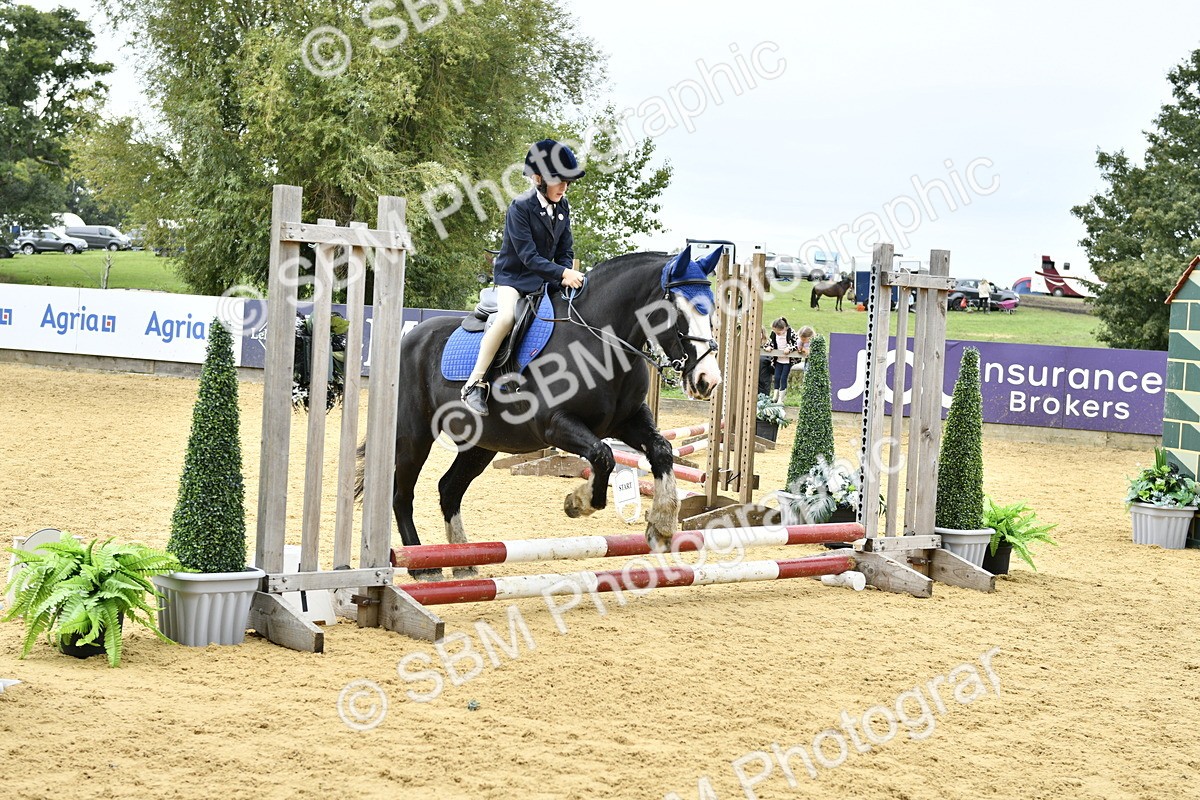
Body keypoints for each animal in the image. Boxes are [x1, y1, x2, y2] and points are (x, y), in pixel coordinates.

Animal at [362, 247, 723, 581]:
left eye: (712, 308)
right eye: (679, 309)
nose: (708, 380)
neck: (601, 341)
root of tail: (408, 338)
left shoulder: (628, 420)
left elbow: (661, 450)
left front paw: (661, 525)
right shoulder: (555, 426)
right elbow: (603, 455)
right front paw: (578, 502)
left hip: (482, 444)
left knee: (449, 488)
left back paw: (463, 561)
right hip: (414, 436)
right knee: (402, 495)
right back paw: (423, 566)